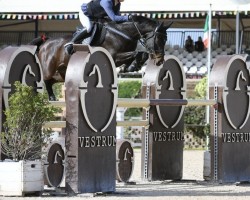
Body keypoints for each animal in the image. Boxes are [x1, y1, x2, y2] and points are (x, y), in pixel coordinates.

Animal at [29, 15, 172, 101]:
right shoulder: (114, 56)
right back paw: (48, 98)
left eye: (165, 39)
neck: (124, 33)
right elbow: (137, 53)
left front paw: (131, 66)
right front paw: (131, 66)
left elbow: (141, 54)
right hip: (48, 69)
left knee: (49, 82)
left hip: (62, 73)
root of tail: (45, 42)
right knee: (44, 81)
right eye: (159, 39)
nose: (160, 60)